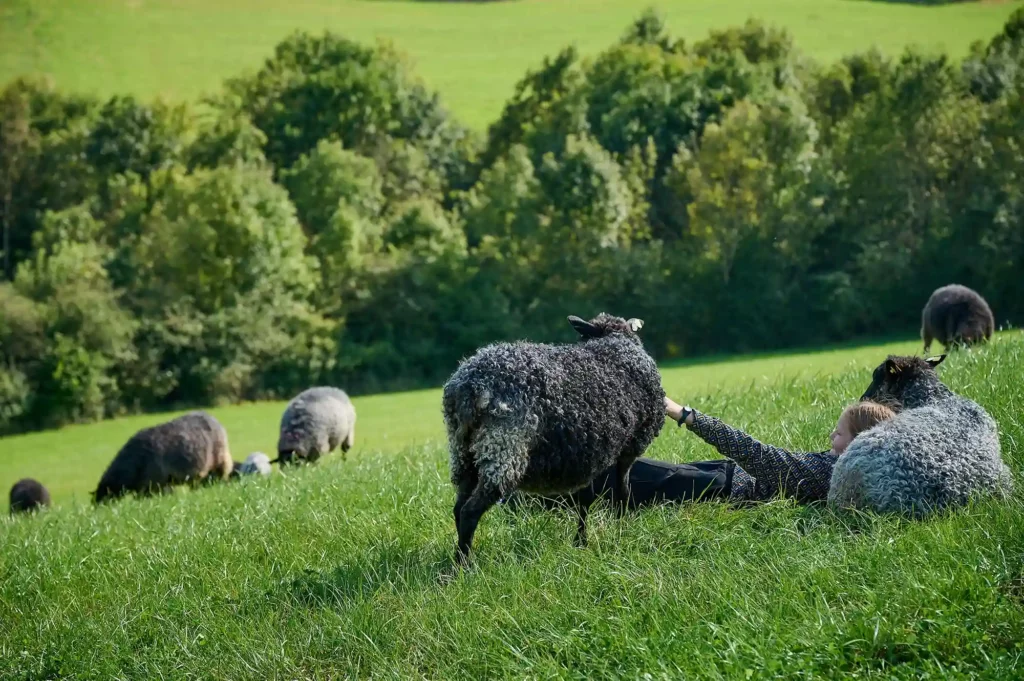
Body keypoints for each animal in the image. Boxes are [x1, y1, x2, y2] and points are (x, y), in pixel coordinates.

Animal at [442, 313, 665, 564]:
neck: (615, 344)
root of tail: (469, 388)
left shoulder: (587, 453)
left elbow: (585, 500)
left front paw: (581, 542)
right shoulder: (628, 448)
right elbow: (623, 490)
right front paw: (621, 526)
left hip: (464, 453)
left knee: (458, 507)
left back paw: (458, 558)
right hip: (504, 448)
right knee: (470, 511)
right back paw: (465, 565)